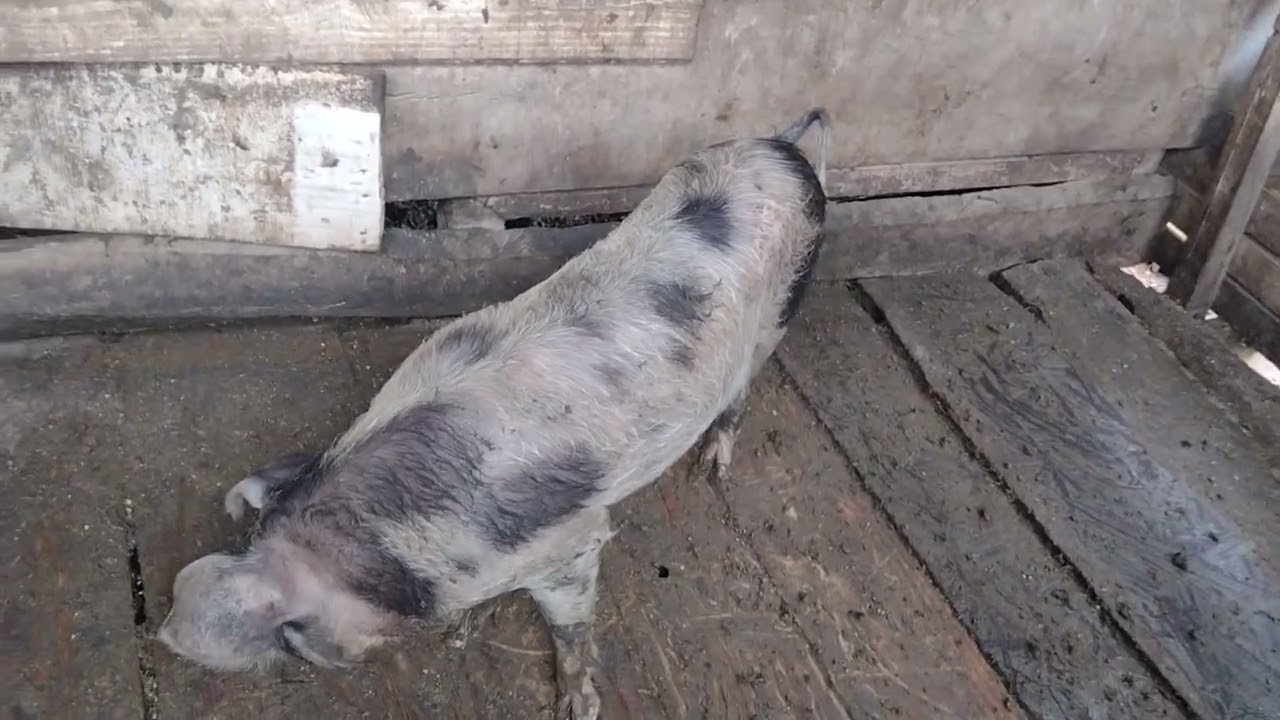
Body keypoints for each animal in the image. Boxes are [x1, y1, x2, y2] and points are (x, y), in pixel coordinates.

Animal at [157, 108, 831, 719]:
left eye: (281, 644)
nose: (166, 631)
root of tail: (786, 149)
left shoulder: (571, 543)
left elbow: (571, 619)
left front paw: (579, 705)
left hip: (782, 304)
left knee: (742, 386)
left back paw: (713, 469)